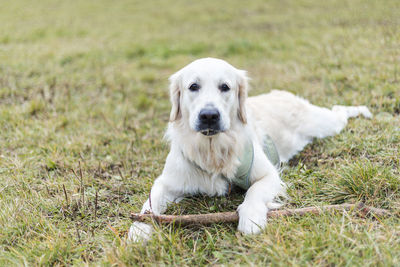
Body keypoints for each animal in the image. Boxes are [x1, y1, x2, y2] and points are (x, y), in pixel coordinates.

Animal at [130, 58, 374, 243]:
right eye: (193, 87)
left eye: (225, 87)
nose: (209, 115)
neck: (212, 150)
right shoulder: (166, 182)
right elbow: (148, 204)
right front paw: (139, 229)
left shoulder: (269, 175)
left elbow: (254, 192)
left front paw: (251, 218)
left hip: (325, 124)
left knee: (339, 110)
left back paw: (362, 110)